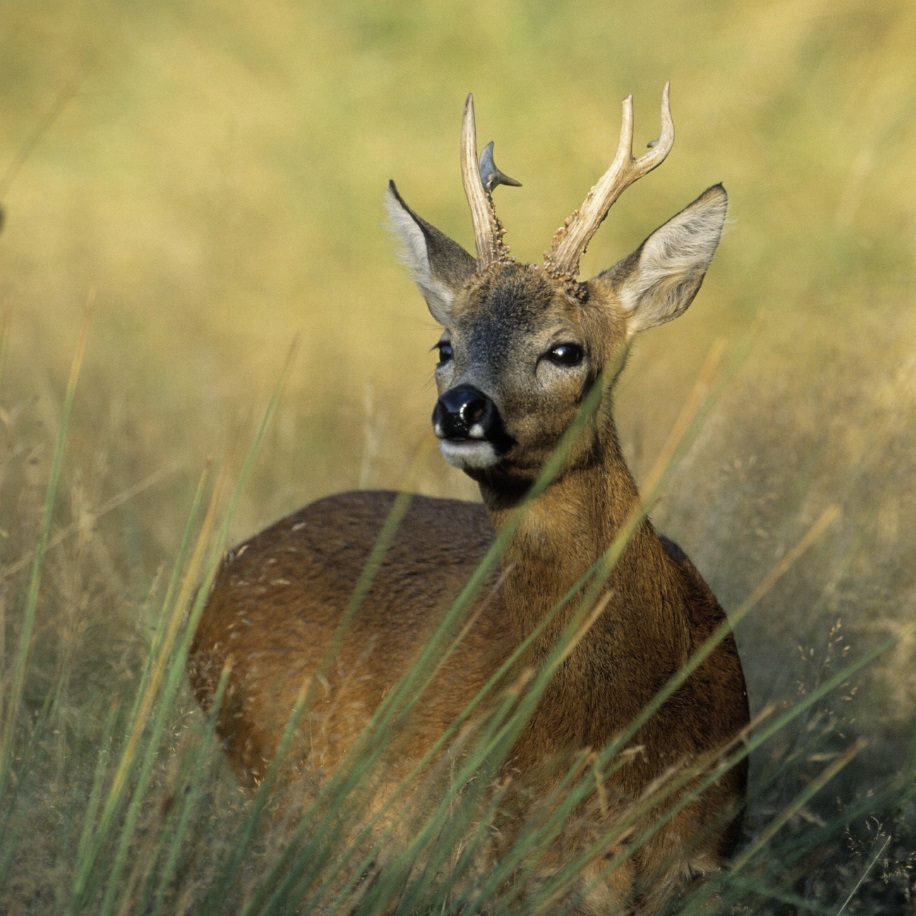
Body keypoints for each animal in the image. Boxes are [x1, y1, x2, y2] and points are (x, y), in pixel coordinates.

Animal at [188, 84, 752, 908]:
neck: (619, 732)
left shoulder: (706, 853)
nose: (460, 408)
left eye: (565, 348)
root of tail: (222, 577)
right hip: (278, 776)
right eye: (444, 344)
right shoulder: (506, 849)